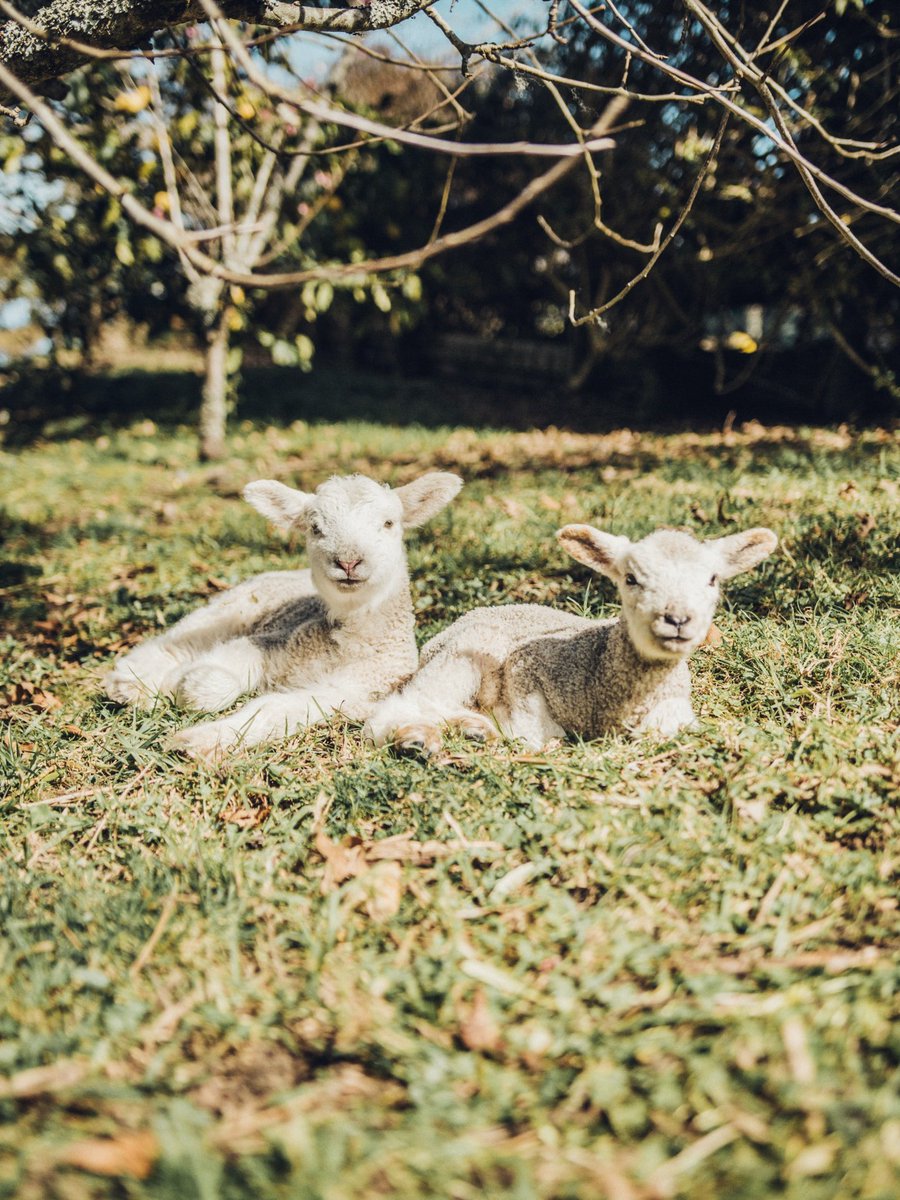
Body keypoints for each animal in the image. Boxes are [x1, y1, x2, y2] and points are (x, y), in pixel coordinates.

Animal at [102, 470, 463, 759]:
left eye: (388, 523)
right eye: (315, 528)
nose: (348, 561)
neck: (348, 645)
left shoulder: (350, 692)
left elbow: (272, 709)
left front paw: (198, 739)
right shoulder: (273, 641)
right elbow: (214, 680)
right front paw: (183, 683)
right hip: (230, 609)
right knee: (174, 644)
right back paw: (128, 684)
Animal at [365, 523, 777, 754]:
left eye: (712, 579)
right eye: (630, 578)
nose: (677, 619)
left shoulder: (675, 711)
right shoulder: (526, 671)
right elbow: (536, 729)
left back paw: (472, 730)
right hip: (463, 657)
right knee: (401, 707)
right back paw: (418, 739)